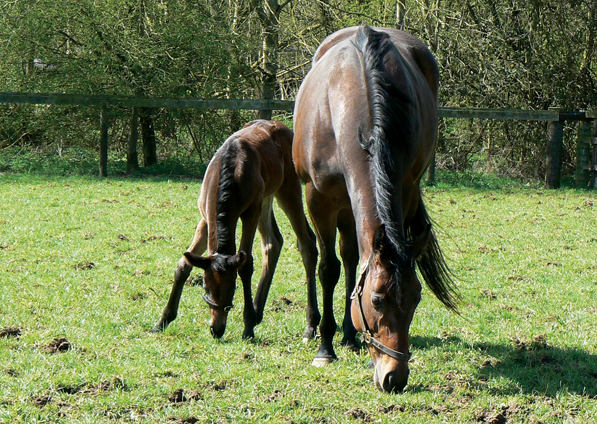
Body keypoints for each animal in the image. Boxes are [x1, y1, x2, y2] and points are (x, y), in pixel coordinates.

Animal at [152, 119, 322, 342]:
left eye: (232, 288)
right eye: (205, 286)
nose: (216, 329)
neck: (230, 173)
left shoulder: (250, 213)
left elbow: (246, 264)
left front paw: (247, 326)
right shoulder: (206, 217)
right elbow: (183, 264)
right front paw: (163, 320)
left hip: (288, 189)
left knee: (307, 243)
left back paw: (310, 325)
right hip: (265, 198)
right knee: (273, 242)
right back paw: (258, 313)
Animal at [292, 24, 456, 392]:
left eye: (416, 299)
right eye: (378, 299)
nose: (394, 377)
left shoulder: (404, 191)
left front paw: (352, 340)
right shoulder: (318, 199)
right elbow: (327, 268)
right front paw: (325, 348)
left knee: (353, 257)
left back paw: (350, 337)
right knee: (319, 257)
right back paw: (315, 329)